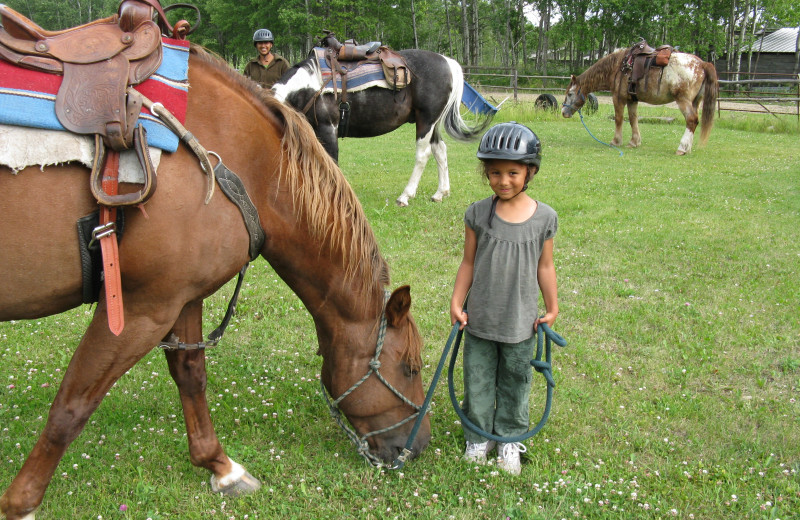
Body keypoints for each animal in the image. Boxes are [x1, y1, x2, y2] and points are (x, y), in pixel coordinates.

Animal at [0, 43, 432, 516]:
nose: (417, 447)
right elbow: (72, 405)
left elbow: (191, 375)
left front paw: (220, 467)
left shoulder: (181, 297)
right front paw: (21, 502)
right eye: (409, 367)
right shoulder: (140, 310)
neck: (247, 165)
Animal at [272, 47, 490, 205]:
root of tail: (448, 62)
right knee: (440, 151)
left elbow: (331, 163)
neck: (309, 87)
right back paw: (440, 193)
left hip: (426, 122)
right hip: (432, 123)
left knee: (423, 154)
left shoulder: (327, 128)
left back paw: (405, 196)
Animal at [560, 47, 720, 154]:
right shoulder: (632, 100)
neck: (618, 66)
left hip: (683, 100)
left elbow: (619, 119)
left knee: (691, 120)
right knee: (694, 121)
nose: (563, 112)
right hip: (695, 102)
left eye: (570, 93)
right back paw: (688, 147)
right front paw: (634, 142)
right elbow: (633, 119)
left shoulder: (618, 98)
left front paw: (615, 141)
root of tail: (702, 64)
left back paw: (681, 148)